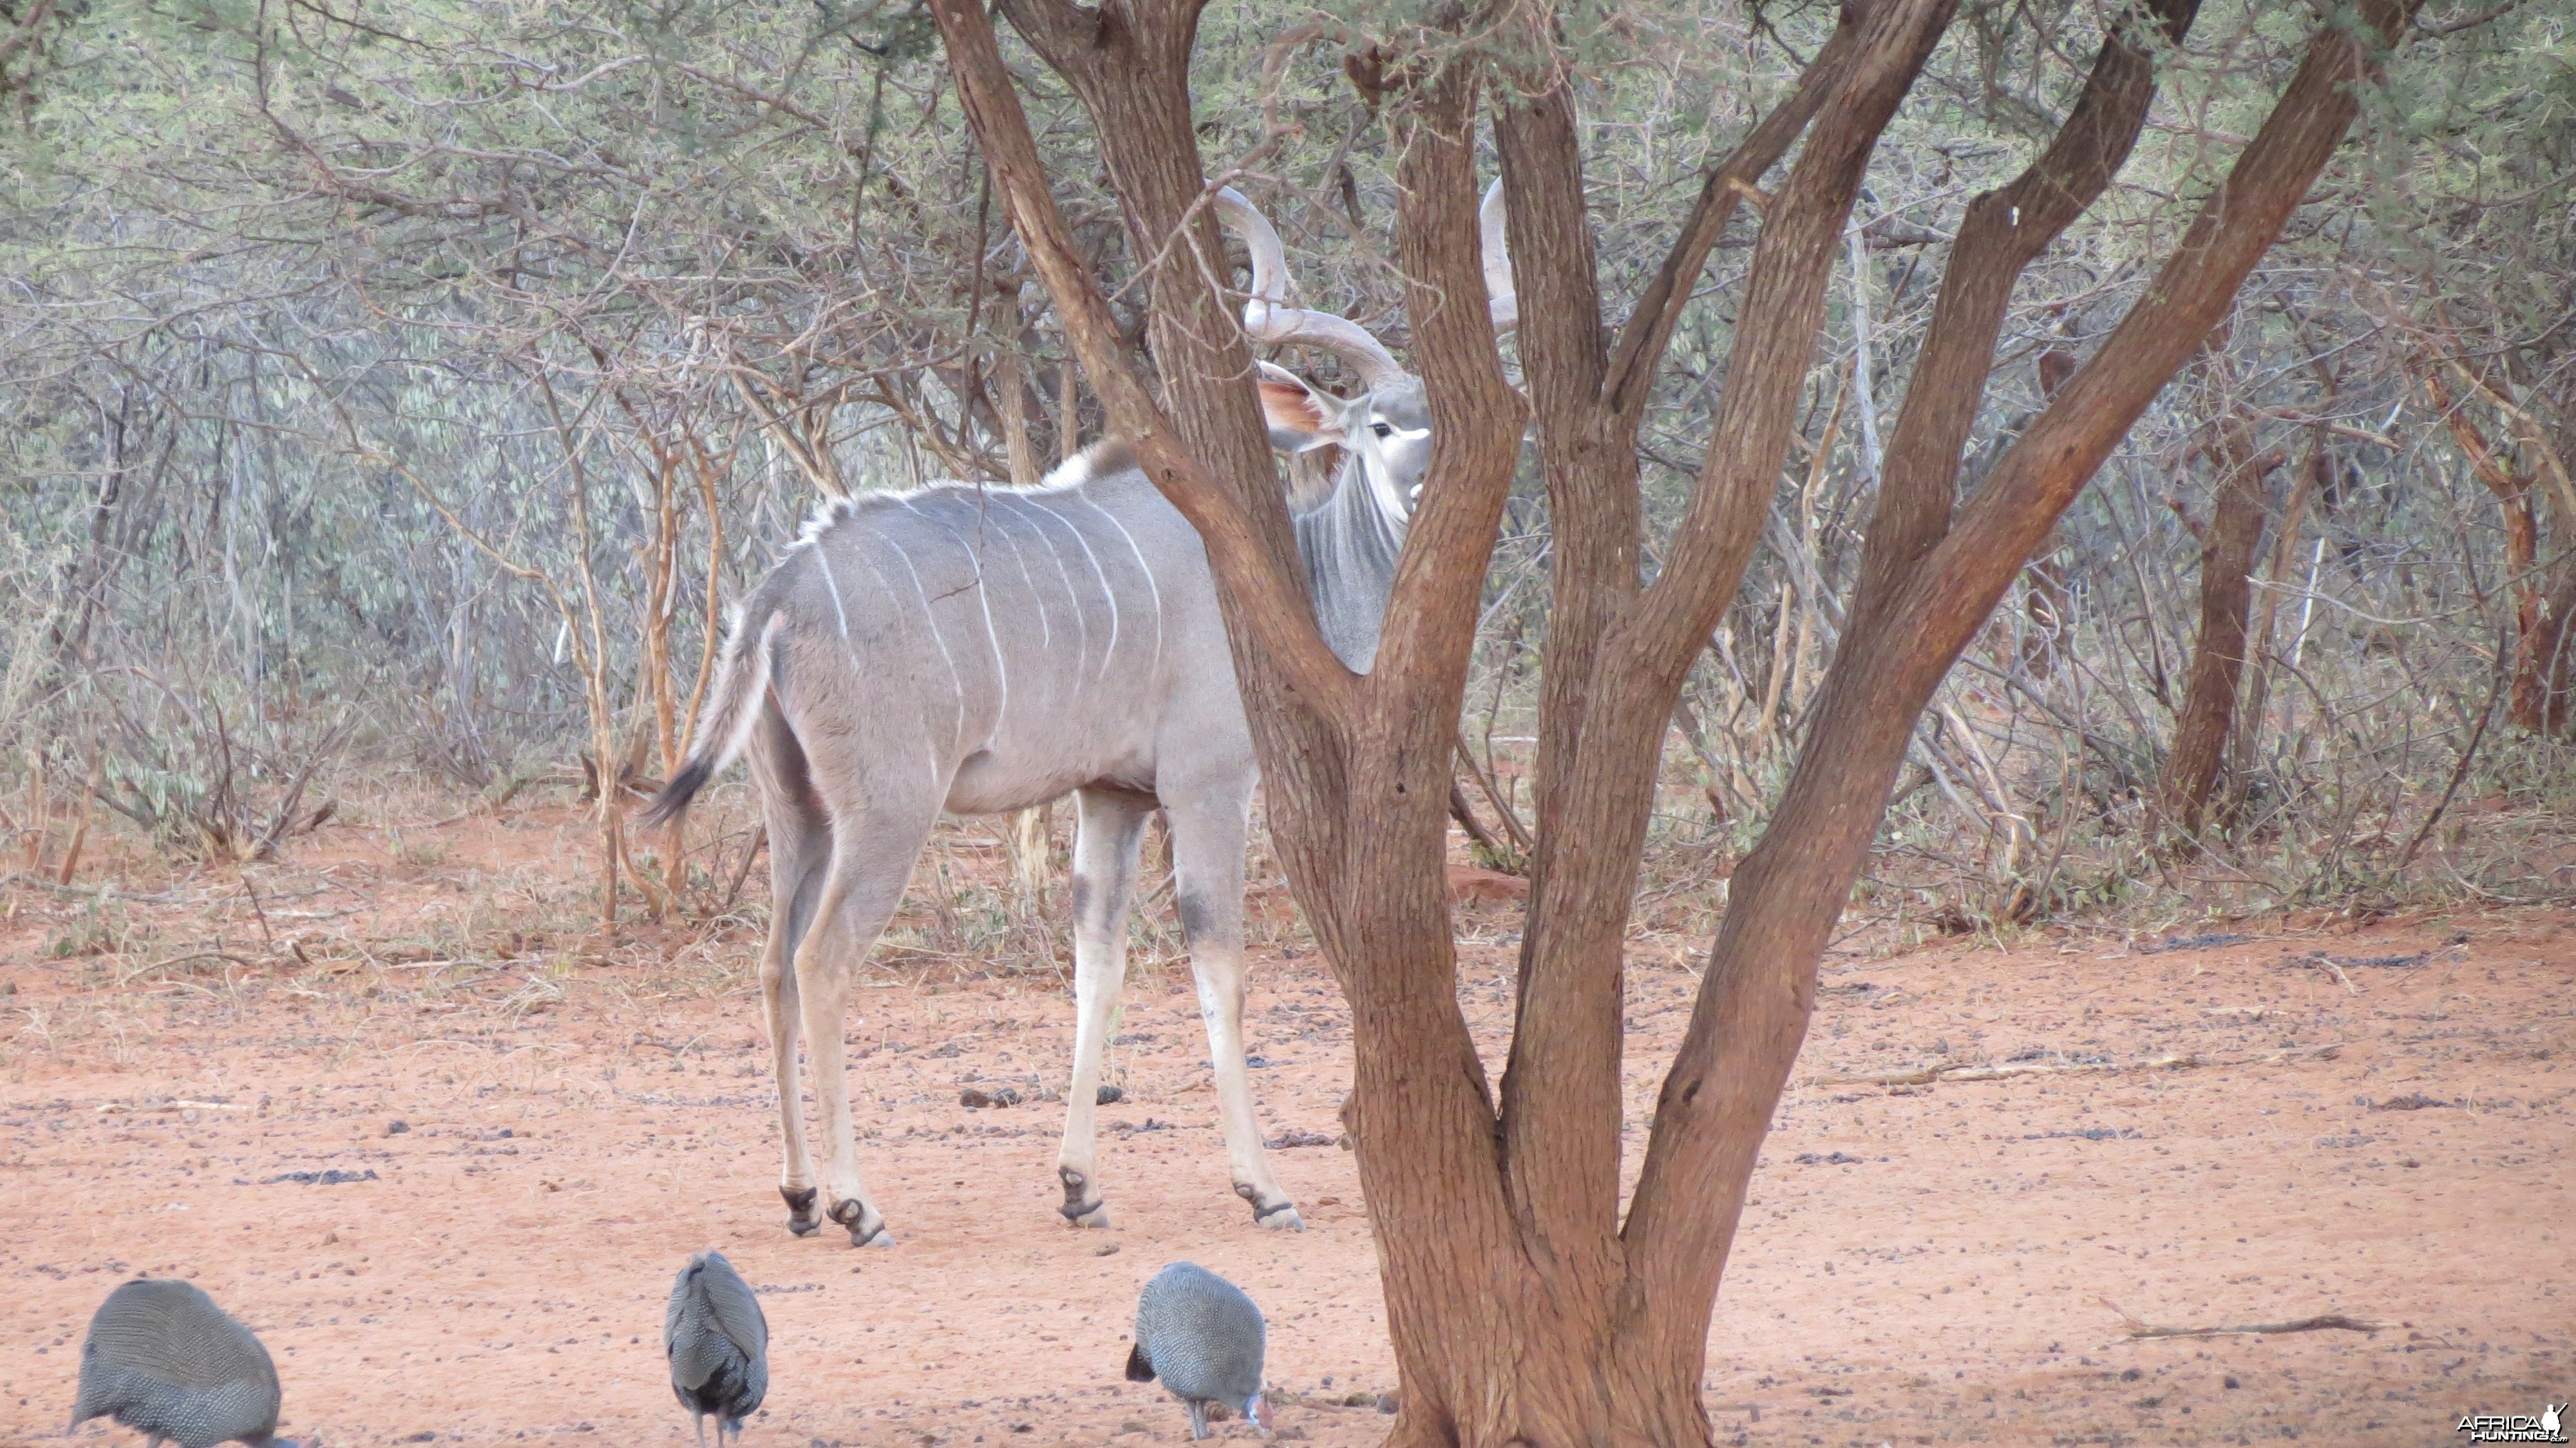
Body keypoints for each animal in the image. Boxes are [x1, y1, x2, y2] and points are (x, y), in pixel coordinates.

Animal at [644, 180, 1515, 1242]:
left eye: (1449, 420)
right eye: (1380, 427)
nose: (1431, 486)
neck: (1292, 576)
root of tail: (782, 584)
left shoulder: (1113, 796)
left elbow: (1097, 964)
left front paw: (1077, 1184)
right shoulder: (1206, 783)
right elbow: (1219, 963)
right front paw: (1262, 1187)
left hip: (796, 808)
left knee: (772, 963)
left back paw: (803, 1195)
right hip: (887, 809)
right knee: (821, 960)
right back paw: (859, 1203)